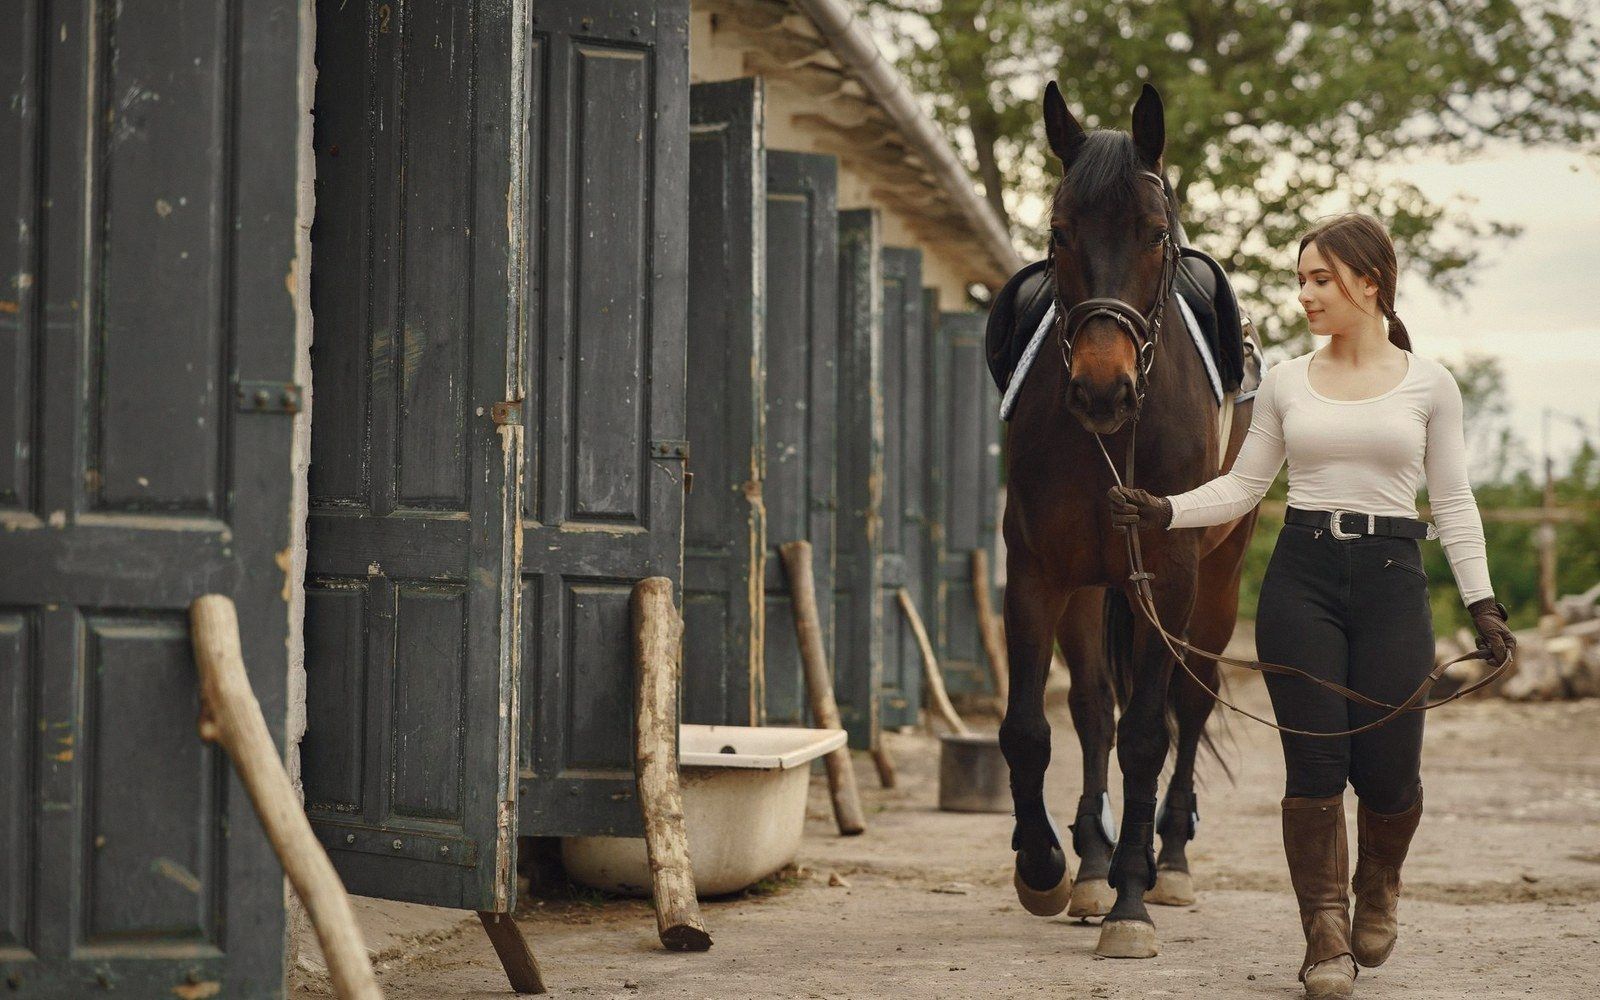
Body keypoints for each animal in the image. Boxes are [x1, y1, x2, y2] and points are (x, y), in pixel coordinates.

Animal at [993, 80, 1260, 959]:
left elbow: (1149, 733)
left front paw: (1132, 902)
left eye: (1154, 234)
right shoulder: (1036, 570)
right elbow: (1031, 729)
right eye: (1058, 233)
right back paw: (1089, 867)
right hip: (1091, 585)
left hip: (1214, 585)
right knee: (1092, 710)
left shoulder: (1170, 577)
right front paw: (1045, 867)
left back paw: (1166, 861)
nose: (1102, 389)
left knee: (1190, 704)